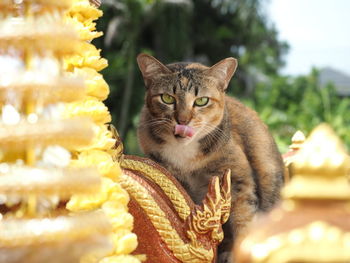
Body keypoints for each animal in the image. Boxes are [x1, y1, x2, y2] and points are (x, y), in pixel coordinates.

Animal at [135, 53, 284, 263]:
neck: (185, 154)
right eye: (167, 98)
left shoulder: (238, 180)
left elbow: (244, 219)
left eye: (201, 101)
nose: (183, 121)